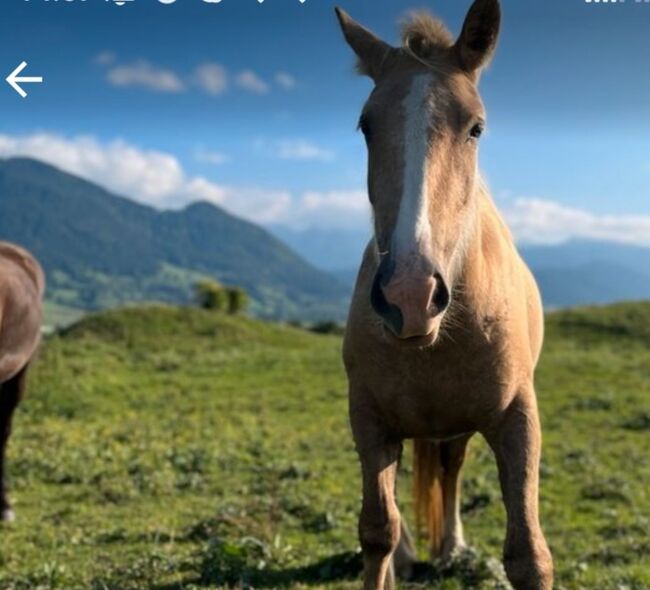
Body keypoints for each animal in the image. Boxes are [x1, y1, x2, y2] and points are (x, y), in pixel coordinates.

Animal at [334, 1, 552, 590]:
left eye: (476, 127)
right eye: (366, 125)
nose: (410, 295)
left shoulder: (517, 418)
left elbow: (528, 555)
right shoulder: (369, 418)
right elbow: (377, 531)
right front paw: (394, 555)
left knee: (450, 471)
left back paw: (451, 544)